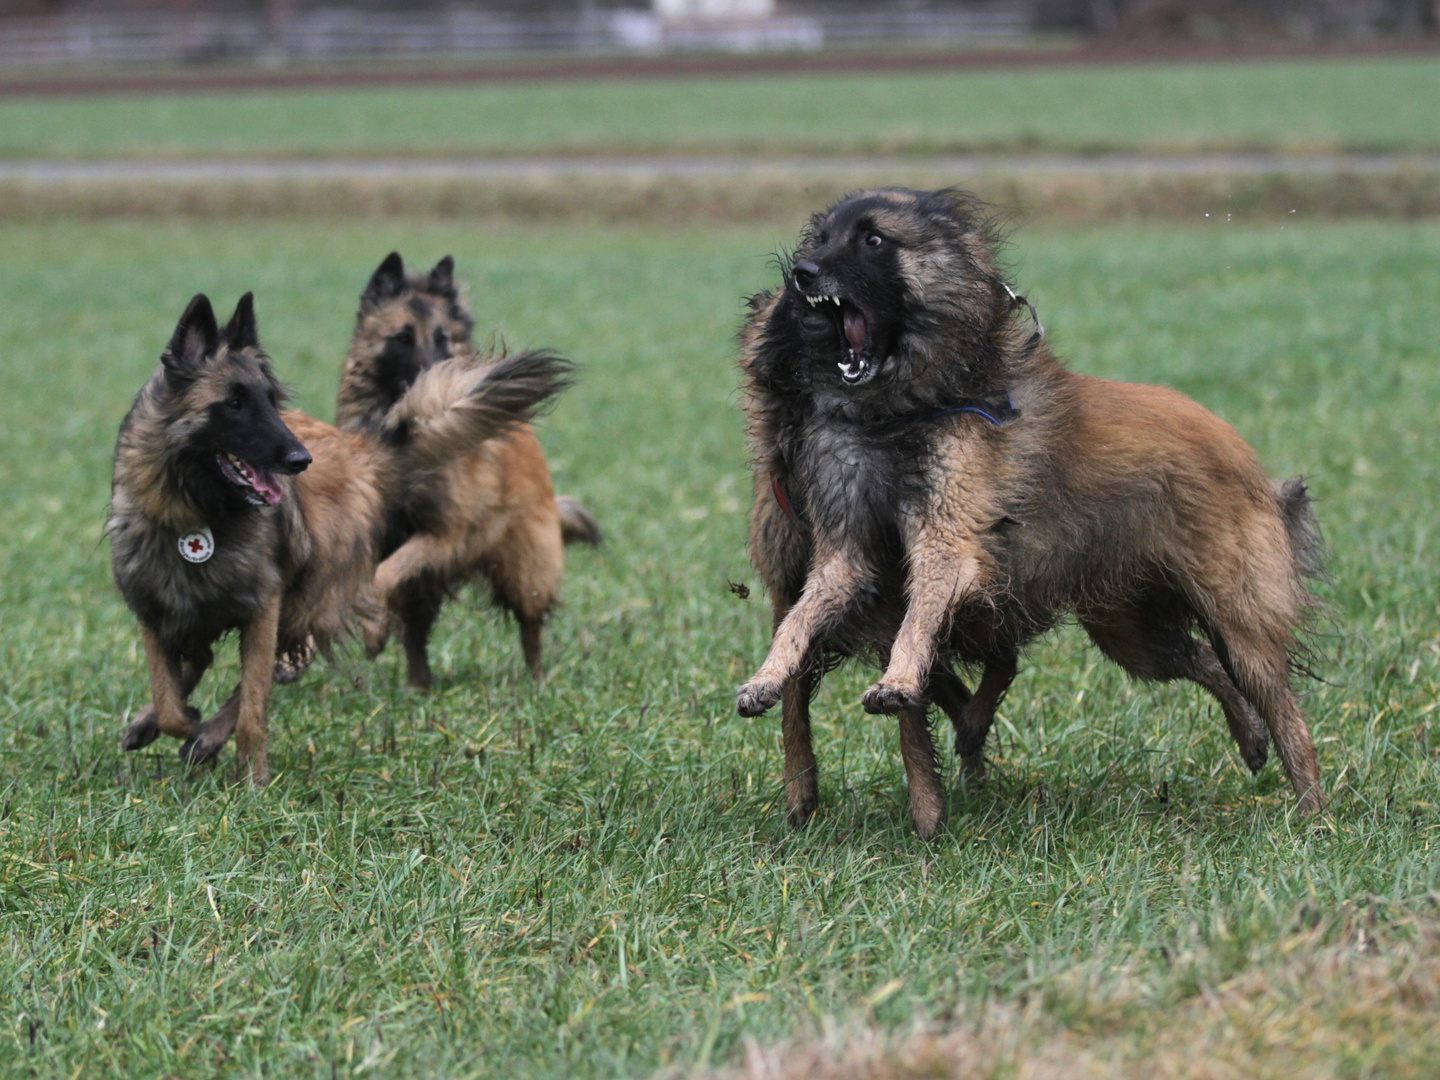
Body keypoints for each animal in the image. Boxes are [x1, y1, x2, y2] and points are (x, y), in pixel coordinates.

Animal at [109, 292, 570, 783]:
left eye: (271, 401)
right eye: (234, 403)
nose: (300, 459)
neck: (196, 515)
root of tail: (360, 449)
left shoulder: (264, 608)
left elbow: (250, 704)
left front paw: (251, 777)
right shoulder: (153, 610)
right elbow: (168, 699)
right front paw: (167, 720)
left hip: (312, 599)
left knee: (272, 669)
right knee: (205, 662)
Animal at [334, 254, 599, 688]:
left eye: (443, 338)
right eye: (401, 338)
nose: (438, 378)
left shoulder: (448, 533)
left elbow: (385, 574)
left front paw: (373, 632)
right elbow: (377, 579)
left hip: (525, 569)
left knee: (531, 627)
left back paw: (536, 681)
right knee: (417, 632)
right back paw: (419, 685)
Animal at [737, 190, 1319, 840]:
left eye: (874, 240)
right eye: (821, 238)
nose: (802, 272)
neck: (901, 414)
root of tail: (1245, 456)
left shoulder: (946, 542)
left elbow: (917, 632)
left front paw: (896, 689)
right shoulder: (843, 555)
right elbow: (800, 626)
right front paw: (765, 681)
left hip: (1235, 617)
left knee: (1284, 709)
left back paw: (1313, 812)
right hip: (1130, 630)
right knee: (1203, 663)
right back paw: (1251, 742)